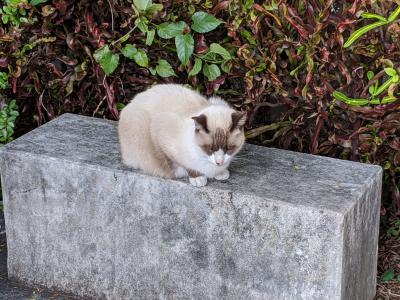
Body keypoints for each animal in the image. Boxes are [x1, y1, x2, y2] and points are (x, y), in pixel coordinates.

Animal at [117, 84, 245, 186]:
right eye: (210, 149)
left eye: (229, 148)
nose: (219, 163)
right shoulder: (161, 134)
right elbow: (182, 165)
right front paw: (197, 177)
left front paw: (221, 173)